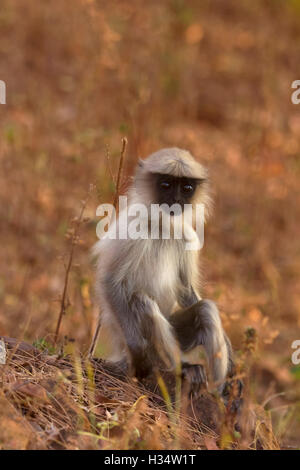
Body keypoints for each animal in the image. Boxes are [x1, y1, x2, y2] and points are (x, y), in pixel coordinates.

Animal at [90, 147, 236, 392]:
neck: (161, 226)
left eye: (186, 188)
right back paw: (181, 368)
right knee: (142, 302)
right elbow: (111, 281)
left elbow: (186, 291)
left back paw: (218, 392)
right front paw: (138, 351)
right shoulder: (132, 230)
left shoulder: (187, 235)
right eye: (166, 184)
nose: (176, 200)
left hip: (179, 335)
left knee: (205, 309)